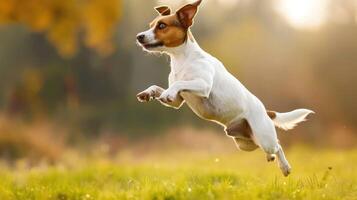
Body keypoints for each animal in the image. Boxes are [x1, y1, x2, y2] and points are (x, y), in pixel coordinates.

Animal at [135, 0, 312, 176]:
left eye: (162, 26)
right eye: (150, 25)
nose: (139, 36)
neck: (182, 59)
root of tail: (266, 112)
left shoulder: (204, 85)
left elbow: (179, 84)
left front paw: (166, 92)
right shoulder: (177, 101)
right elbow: (161, 88)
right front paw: (148, 93)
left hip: (264, 137)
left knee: (278, 146)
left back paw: (285, 166)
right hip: (246, 143)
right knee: (268, 148)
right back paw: (271, 158)